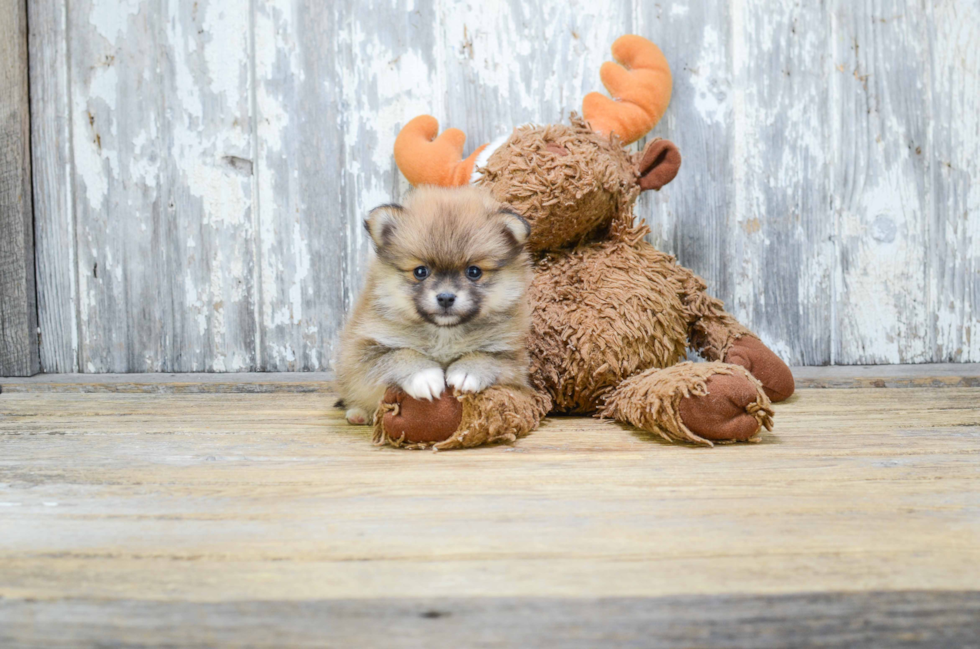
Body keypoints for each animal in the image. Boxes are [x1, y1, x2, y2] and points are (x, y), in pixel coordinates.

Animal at [338, 185, 536, 422]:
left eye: (474, 272)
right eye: (420, 271)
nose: (446, 297)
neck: (444, 333)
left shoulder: (514, 358)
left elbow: (489, 357)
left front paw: (467, 371)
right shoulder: (362, 350)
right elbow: (399, 354)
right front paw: (423, 375)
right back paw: (357, 414)